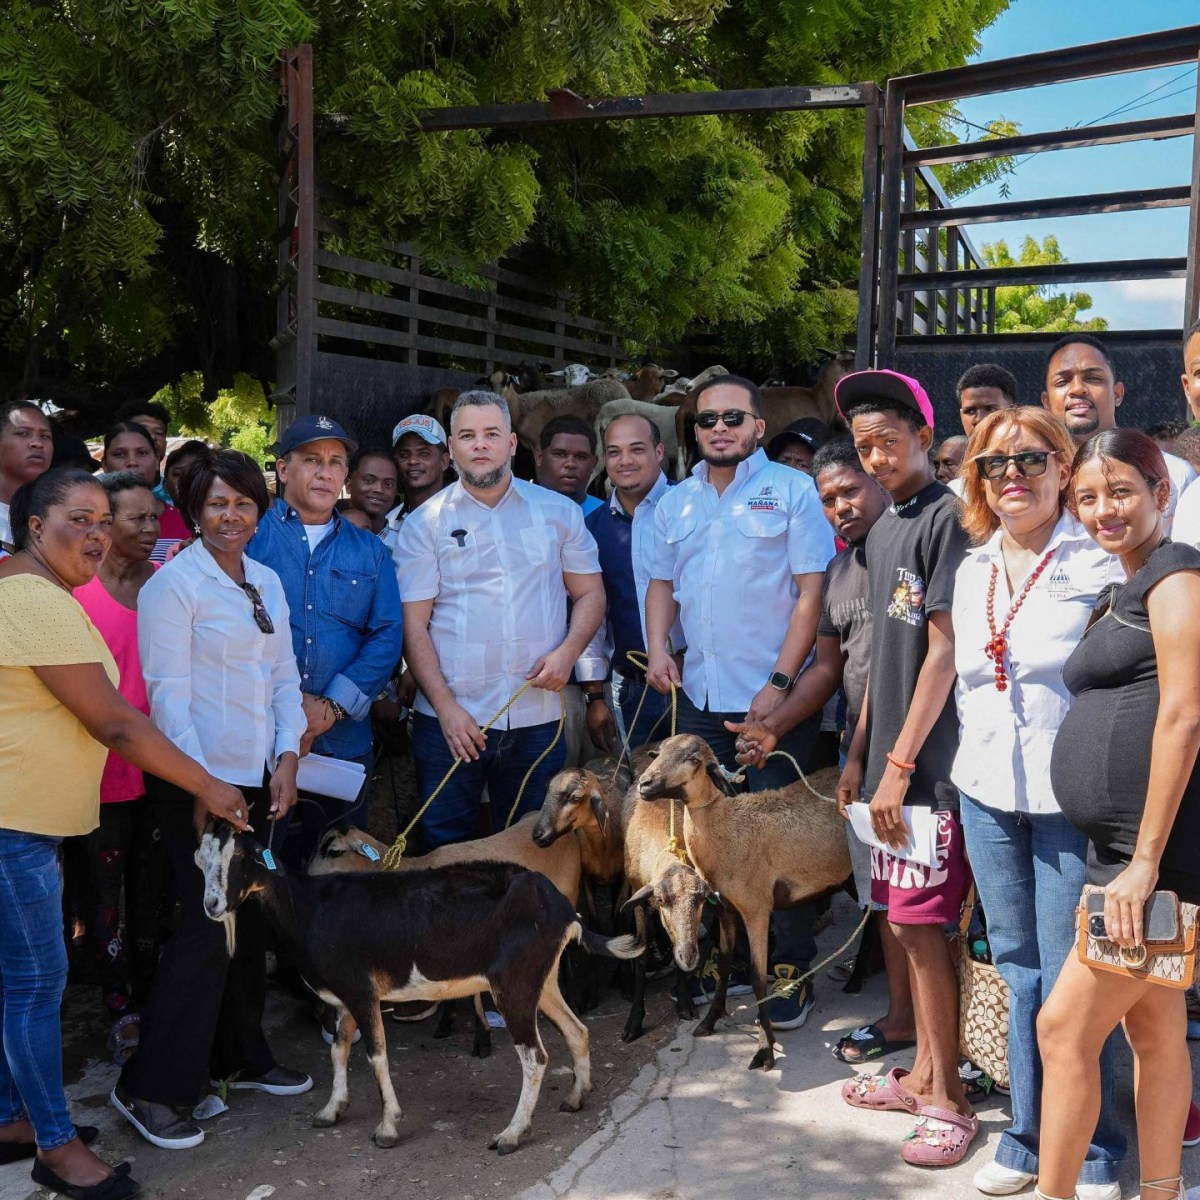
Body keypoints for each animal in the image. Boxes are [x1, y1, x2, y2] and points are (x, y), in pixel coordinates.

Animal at [199, 825, 648, 1152]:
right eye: (199, 862)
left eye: (239, 857)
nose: (212, 906)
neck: (309, 908)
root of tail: (559, 906)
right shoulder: (345, 997)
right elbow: (338, 1050)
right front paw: (331, 1110)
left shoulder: (362, 992)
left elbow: (376, 1057)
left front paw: (387, 1128)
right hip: (541, 978)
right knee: (577, 1030)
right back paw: (575, 1098)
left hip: (513, 983)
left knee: (535, 1057)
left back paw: (511, 1135)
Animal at [638, 734, 854, 1075]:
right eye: (656, 753)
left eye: (693, 760)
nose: (645, 784)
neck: (726, 829)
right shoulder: (726, 910)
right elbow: (726, 964)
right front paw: (709, 1021)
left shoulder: (757, 910)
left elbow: (757, 977)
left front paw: (765, 1049)